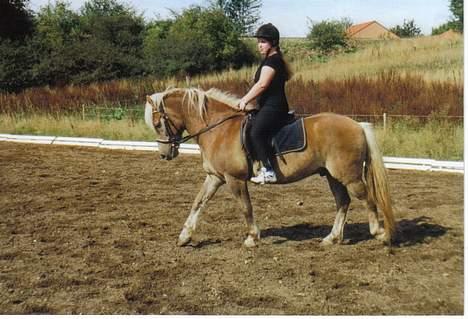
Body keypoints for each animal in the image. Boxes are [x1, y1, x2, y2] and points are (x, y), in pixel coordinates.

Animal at [144, 88, 394, 250]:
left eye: (157, 124)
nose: (164, 154)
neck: (218, 129)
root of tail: (357, 125)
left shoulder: (234, 179)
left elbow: (245, 207)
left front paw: (252, 238)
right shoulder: (215, 177)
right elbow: (198, 202)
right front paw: (184, 237)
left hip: (349, 176)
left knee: (368, 199)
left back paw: (380, 234)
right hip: (332, 176)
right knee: (343, 202)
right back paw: (332, 238)